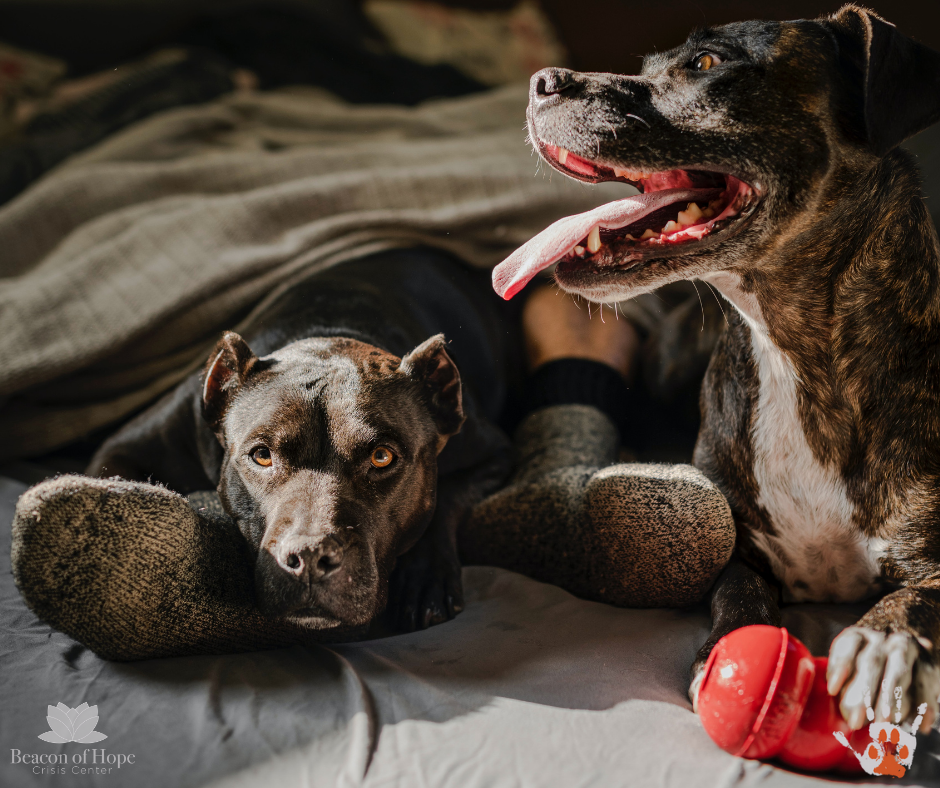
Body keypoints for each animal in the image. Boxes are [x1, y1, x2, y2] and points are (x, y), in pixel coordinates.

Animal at [89, 251, 516, 636]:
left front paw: (426, 579)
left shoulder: (495, 451)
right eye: (262, 456)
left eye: (382, 457)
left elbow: (447, 497)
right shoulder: (124, 445)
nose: (310, 557)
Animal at [492, 7, 940, 732]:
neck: (789, 353)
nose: (541, 81)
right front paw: (730, 649)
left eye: (707, 63)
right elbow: (736, 596)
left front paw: (885, 642)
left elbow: (922, 595)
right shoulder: (740, 549)